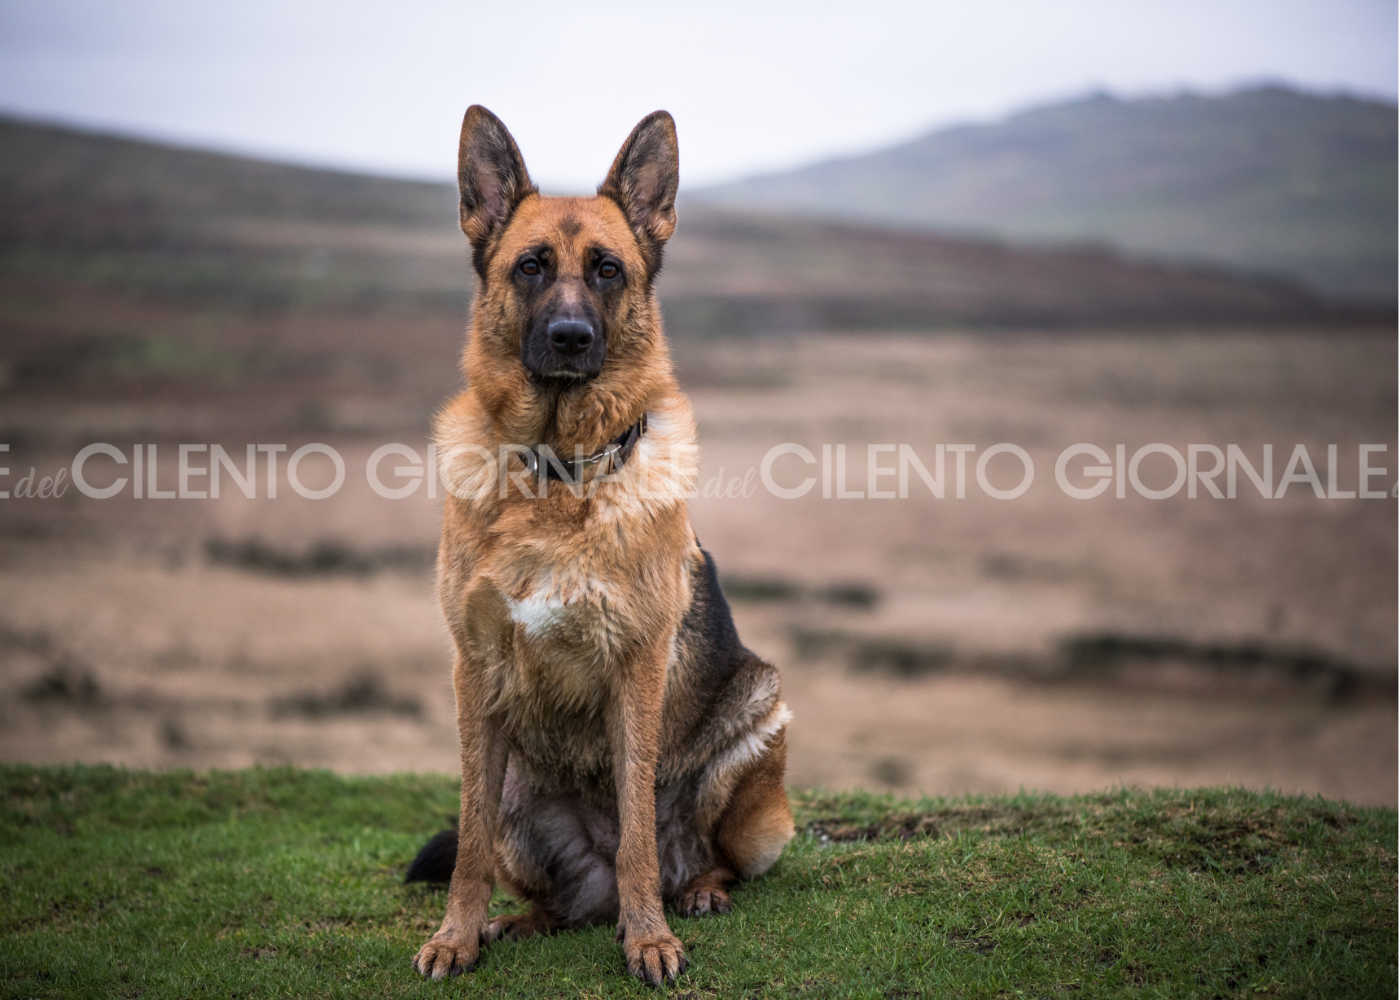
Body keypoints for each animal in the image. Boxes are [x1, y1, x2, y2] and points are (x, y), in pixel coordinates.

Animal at [408, 109, 795, 980]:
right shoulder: (473, 672)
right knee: (560, 892)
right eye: (530, 267)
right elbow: (469, 840)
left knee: (689, 855)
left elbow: (640, 834)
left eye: (609, 270)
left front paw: (649, 939)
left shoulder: (638, 664)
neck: (559, 473)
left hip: (759, 722)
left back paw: (696, 893)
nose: (570, 336)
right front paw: (455, 936)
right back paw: (522, 921)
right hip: (519, 797)